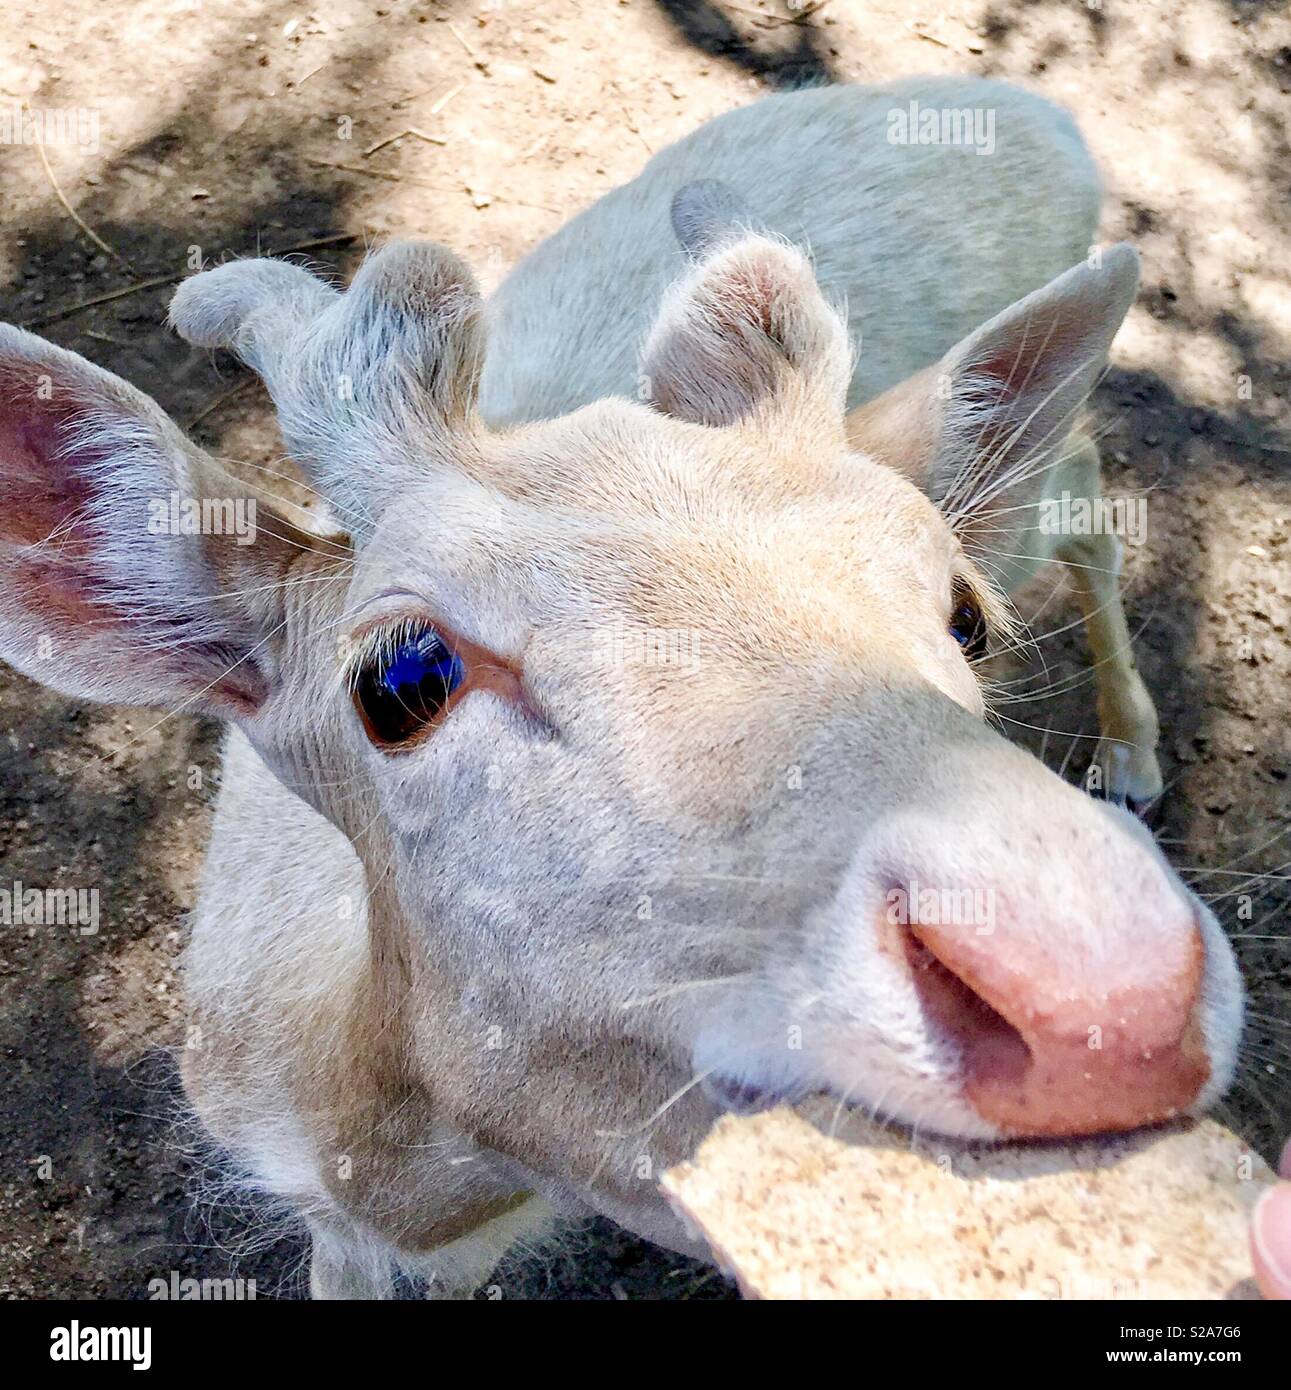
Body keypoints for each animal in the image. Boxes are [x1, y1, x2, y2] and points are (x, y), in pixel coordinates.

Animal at [0, 77, 1245, 1297]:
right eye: (402, 678)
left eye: (962, 616)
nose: (1106, 992)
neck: (397, 1174)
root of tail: (1046, 119)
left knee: (1083, 488)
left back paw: (1132, 753)